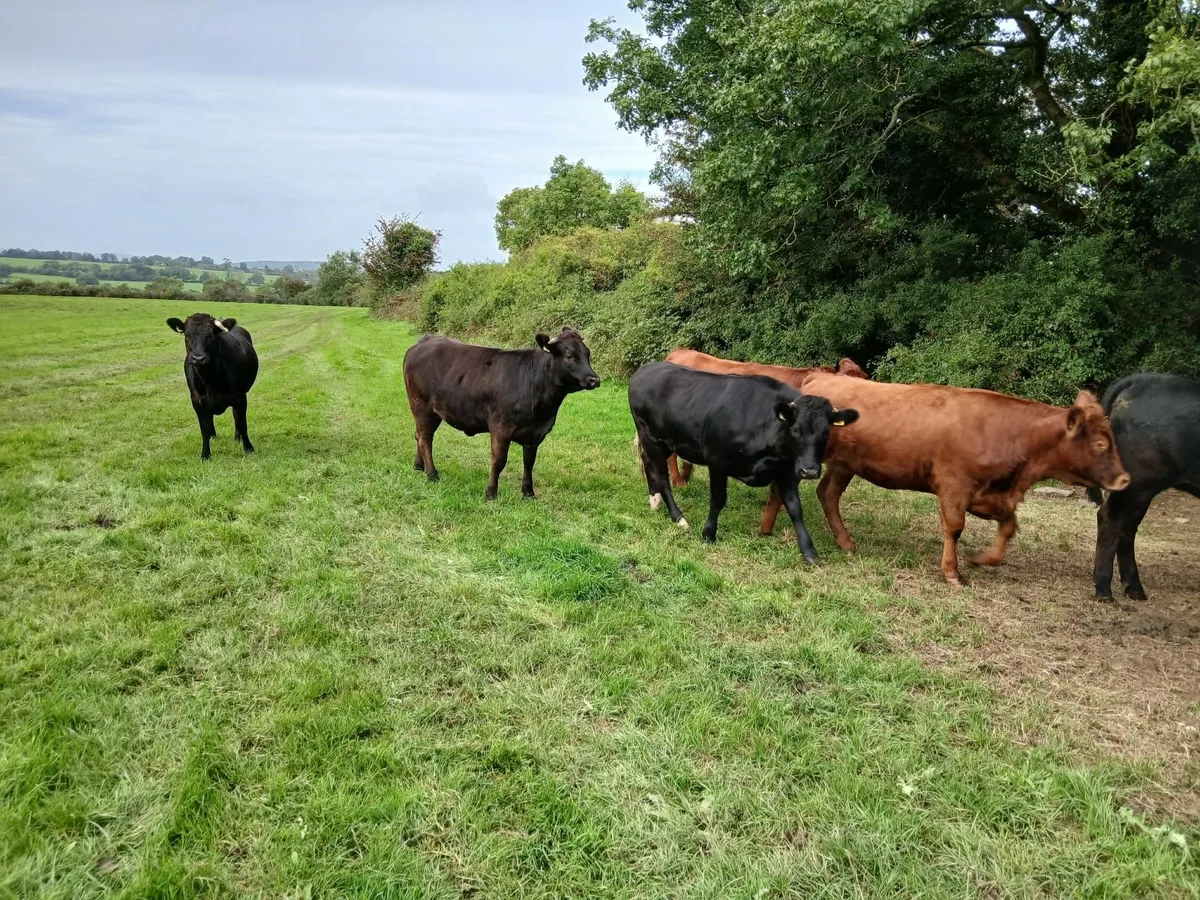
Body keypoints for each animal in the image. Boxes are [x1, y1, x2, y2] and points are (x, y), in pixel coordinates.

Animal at [166, 313, 258, 460]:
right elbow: (205, 429)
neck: (210, 379)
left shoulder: (240, 397)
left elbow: (242, 424)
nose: (198, 358)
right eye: (187, 335)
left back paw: (237, 438)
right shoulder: (197, 400)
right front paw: (205, 455)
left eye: (210, 336)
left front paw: (248, 448)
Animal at [402, 327, 600, 501]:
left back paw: (418, 466)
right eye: (569, 356)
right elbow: (499, 461)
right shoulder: (501, 428)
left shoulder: (535, 433)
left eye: (587, 354)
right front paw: (491, 493)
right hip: (422, 406)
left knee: (419, 435)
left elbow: (529, 462)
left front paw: (528, 493)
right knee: (425, 438)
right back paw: (432, 474)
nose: (594, 379)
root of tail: (424, 341)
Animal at [628, 362, 859, 563]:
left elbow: (795, 507)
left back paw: (654, 500)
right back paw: (678, 517)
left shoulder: (786, 470)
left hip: (663, 442)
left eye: (826, 432)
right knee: (661, 475)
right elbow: (718, 499)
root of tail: (647, 368)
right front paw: (709, 533)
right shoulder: (717, 461)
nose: (809, 470)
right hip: (651, 437)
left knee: (649, 465)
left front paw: (808, 550)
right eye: (795, 429)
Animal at [796, 373, 1130, 586]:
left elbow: (1009, 527)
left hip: (844, 465)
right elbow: (955, 527)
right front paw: (952, 573)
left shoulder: (993, 495)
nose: (1125, 479)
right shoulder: (954, 486)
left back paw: (846, 542)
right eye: (1100, 444)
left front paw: (982, 559)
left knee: (828, 494)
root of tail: (819, 376)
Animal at [1087, 373, 1200, 601]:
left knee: (1127, 527)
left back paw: (1134, 588)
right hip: (1140, 485)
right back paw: (1104, 590)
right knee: (1112, 521)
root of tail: (1140, 380)